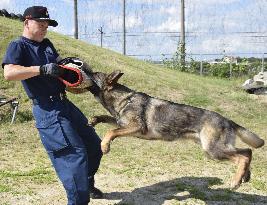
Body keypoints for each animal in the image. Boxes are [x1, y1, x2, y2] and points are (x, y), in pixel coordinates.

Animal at [88, 69, 266, 188]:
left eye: (94, 74)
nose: (84, 67)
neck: (125, 100)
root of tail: (228, 120)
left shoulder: (136, 127)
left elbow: (111, 131)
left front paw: (105, 146)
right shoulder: (122, 123)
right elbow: (107, 120)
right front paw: (94, 120)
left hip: (213, 150)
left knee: (243, 156)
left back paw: (236, 181)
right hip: (217, 149)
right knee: (247, 152)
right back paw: (245, 176)